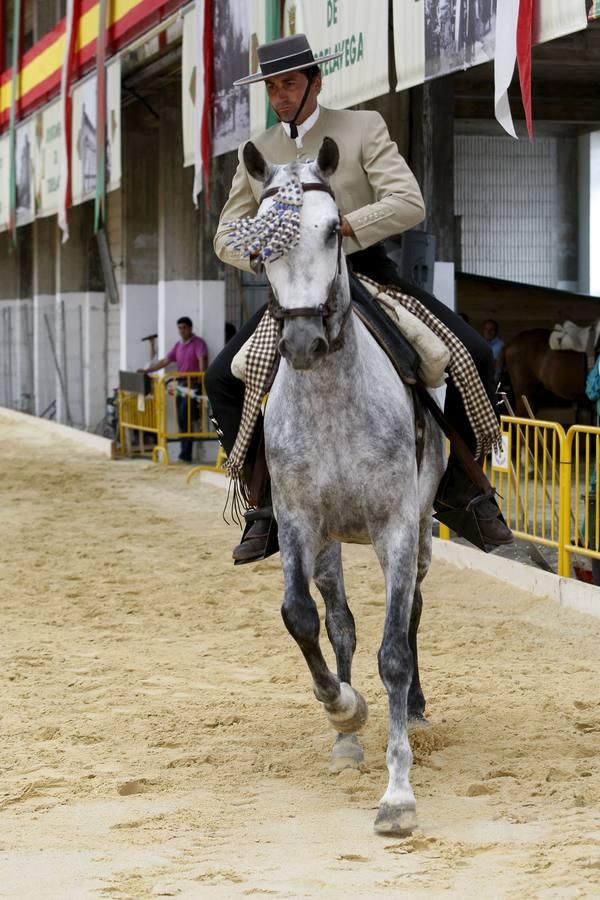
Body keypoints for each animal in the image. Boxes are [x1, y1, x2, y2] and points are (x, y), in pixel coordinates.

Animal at [244, 137, 446, 832]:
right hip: (331, 540)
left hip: (419, 532)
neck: (333, 399)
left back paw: (415, 711)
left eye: (334, 229)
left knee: (409, 616)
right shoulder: (299, 521)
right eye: (258, 246)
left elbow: (395, 652)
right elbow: (302, 617)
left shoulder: (397, 528)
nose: (304, 341)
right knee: (341, 621)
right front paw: (344, 710)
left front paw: (399, 794)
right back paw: (346, 738)